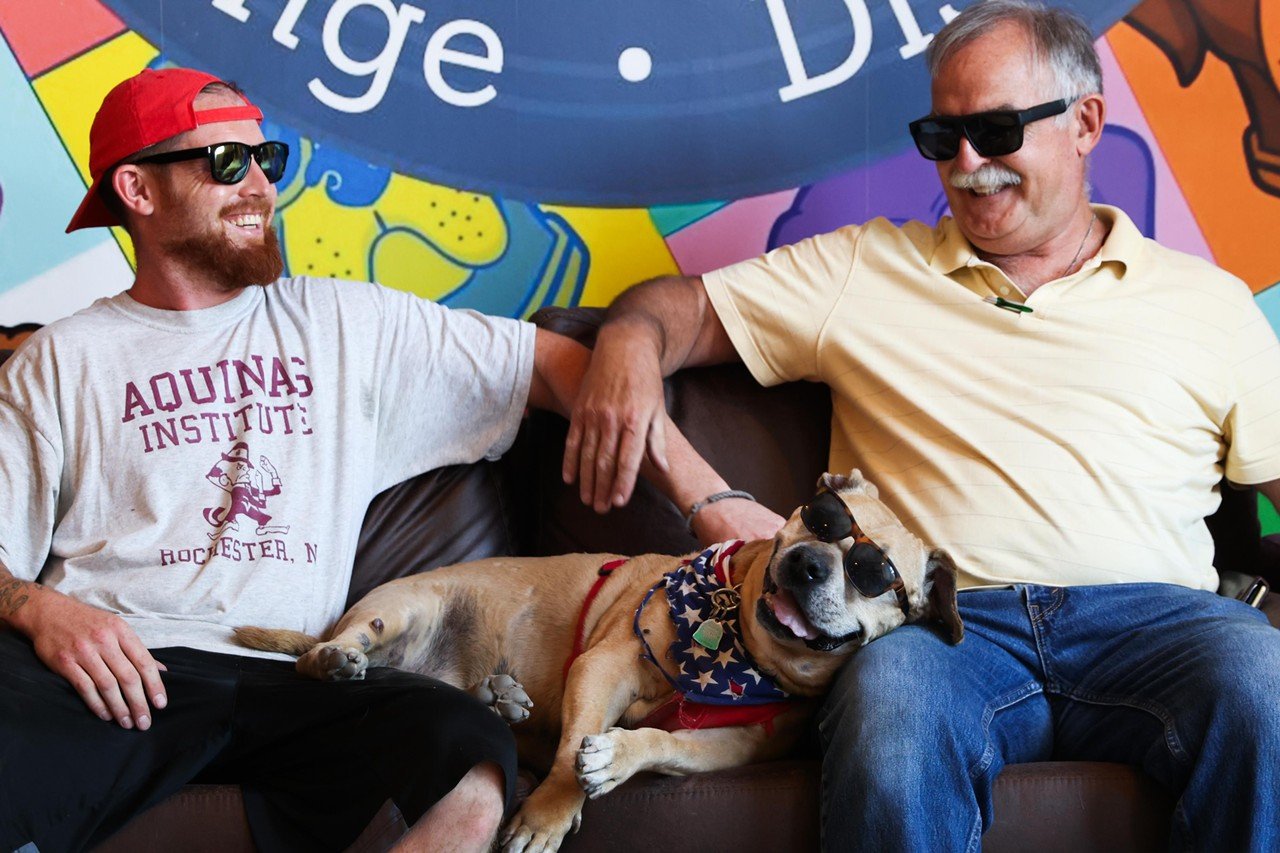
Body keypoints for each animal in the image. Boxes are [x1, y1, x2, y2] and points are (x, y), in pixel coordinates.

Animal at [238, 471, 962, 850]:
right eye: (821, 515)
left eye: (875, 574)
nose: (809, 562)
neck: (736, 651)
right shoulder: (602, 667)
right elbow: (566, 758)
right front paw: (548, 815)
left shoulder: (728, 748)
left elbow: (661, 744)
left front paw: (615, 757)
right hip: (402, 607)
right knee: (328, 656)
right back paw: (339, 659)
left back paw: (500, 697)